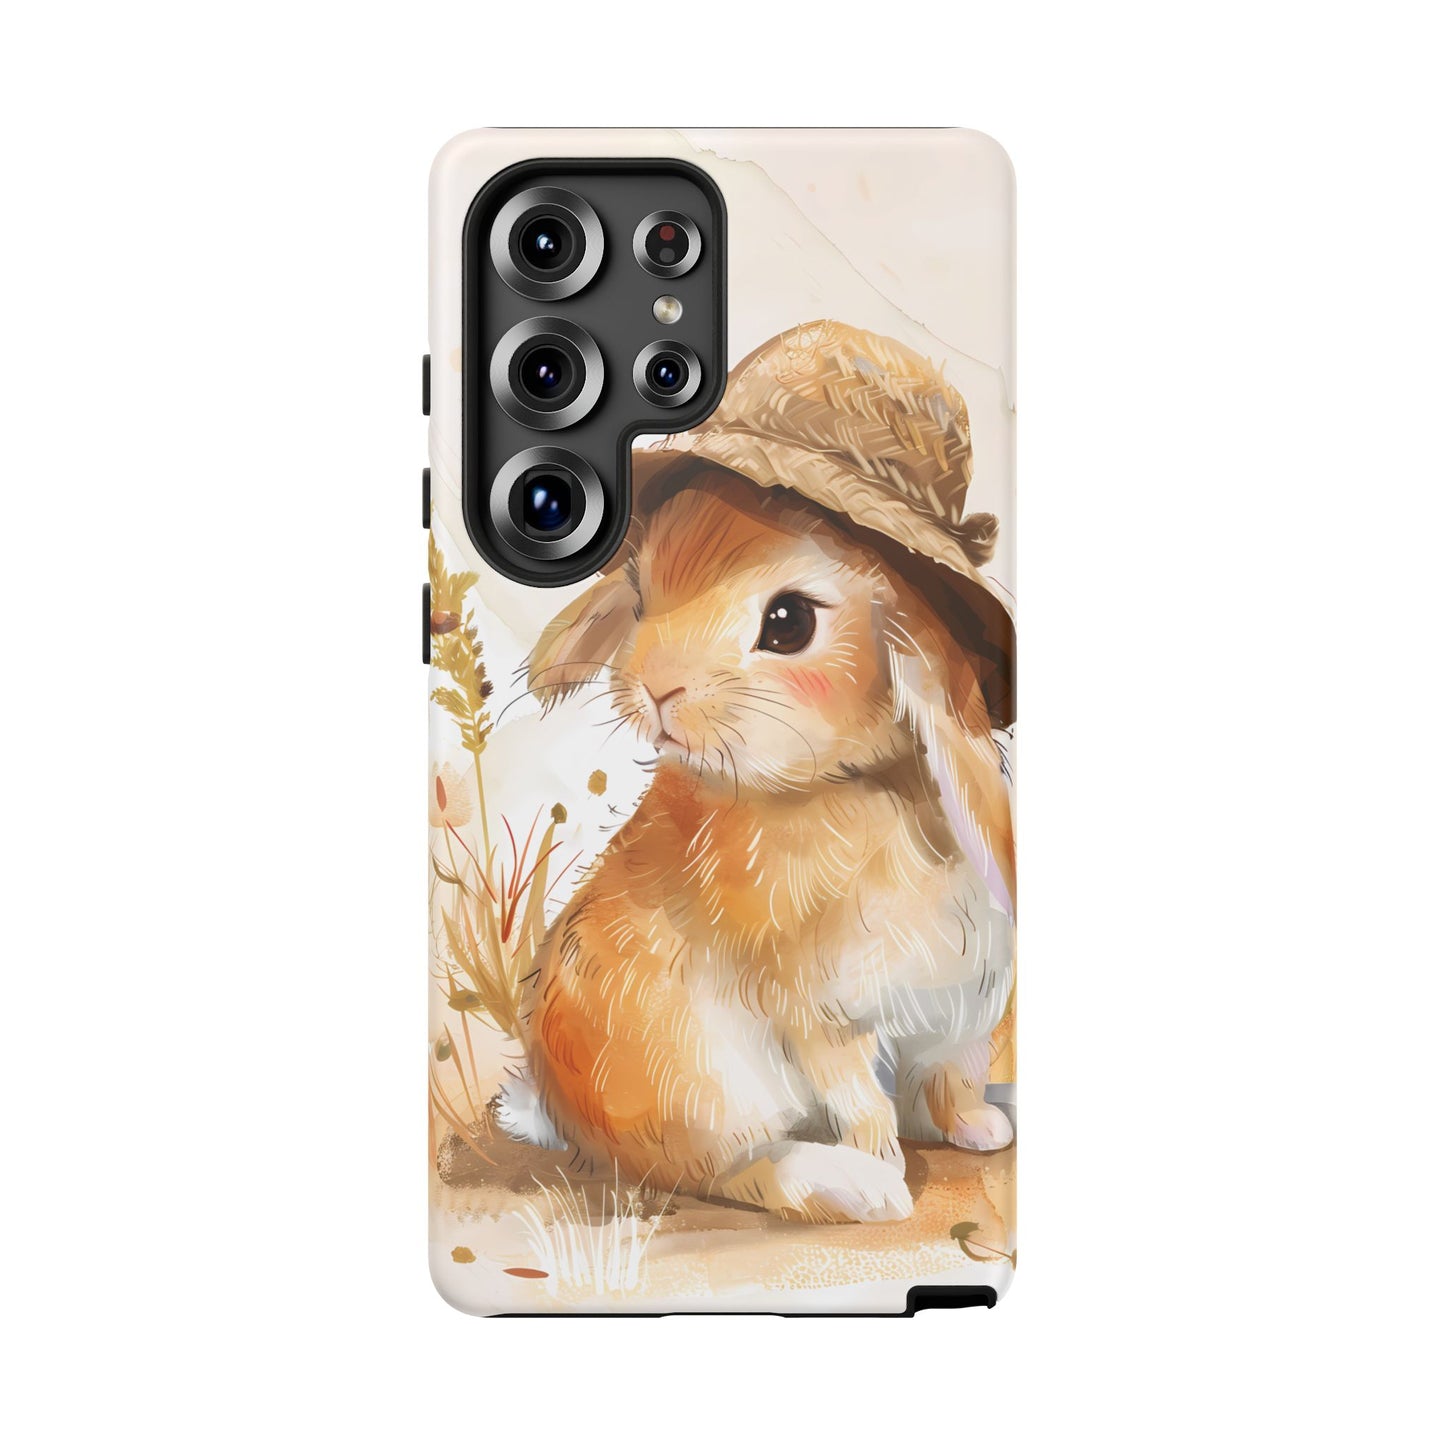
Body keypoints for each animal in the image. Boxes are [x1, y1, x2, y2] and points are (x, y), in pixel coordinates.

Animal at [499, 467, 1015, 1224]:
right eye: (641, 598)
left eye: (788, 622)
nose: (654, 687)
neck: (854, 785)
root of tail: (561, 1111)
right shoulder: (815, 1008)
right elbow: (862, 1100)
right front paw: (886, 1165)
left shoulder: (961, 1006)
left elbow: (951, 1079)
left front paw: (979, 1129)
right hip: (702, 1080)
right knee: (730, 1170)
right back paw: (858, 1188)